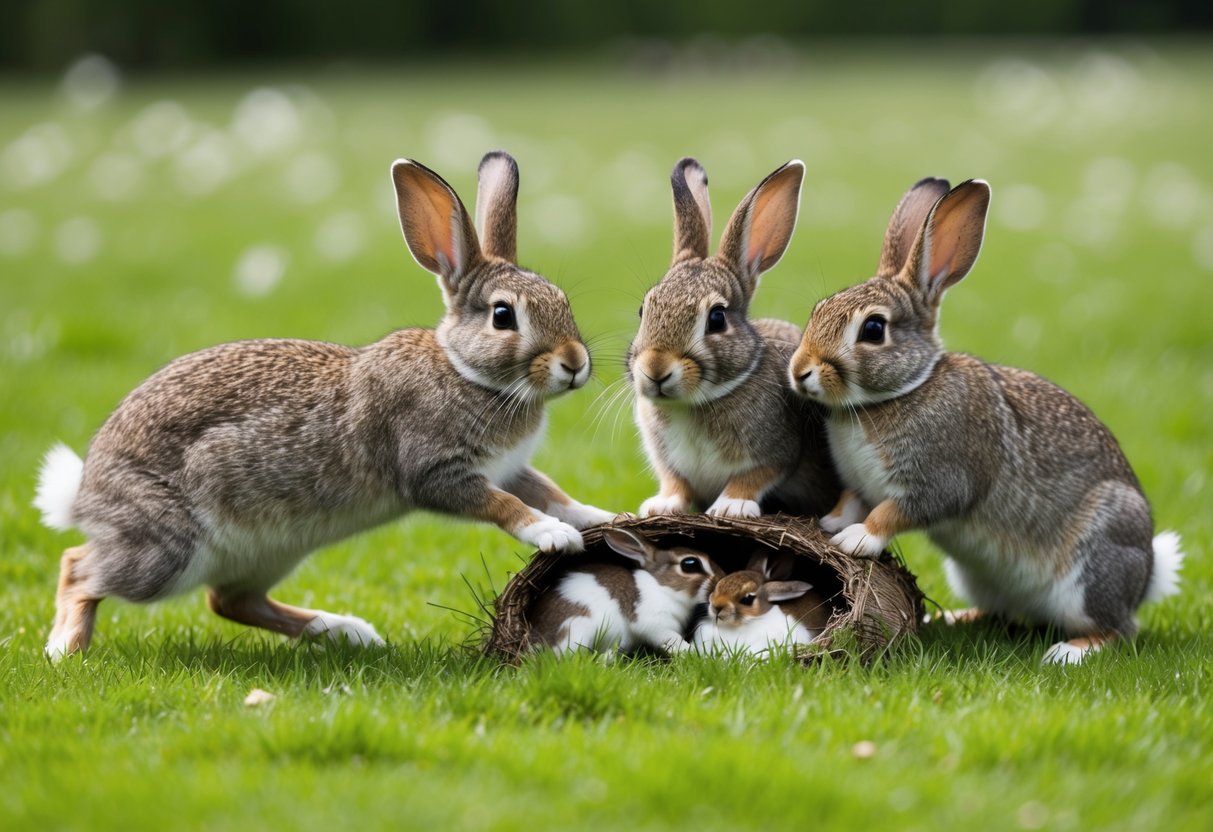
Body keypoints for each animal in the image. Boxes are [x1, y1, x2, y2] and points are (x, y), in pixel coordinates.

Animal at [32, 151, 616, 661]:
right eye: (502, 316)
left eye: (562, 300)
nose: (575, 363)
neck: (463, 370)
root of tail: (84, 494)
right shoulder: (437, 470)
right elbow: (504, 505)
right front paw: (554, 535)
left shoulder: (511, 467)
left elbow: (553, 493)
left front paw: (607, 516)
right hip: (164, 551)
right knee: (79, 566)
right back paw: (65, 650)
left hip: (270, 553)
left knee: (229, 600)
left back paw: (347, 632)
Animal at [529, 527, 723, 656]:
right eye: (690, 564)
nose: (721, 578)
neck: (663, 588)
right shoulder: (656, 624)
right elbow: (672, 639)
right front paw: (692, 653)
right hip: (578, 627)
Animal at [627, 158, 839, 520]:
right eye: (644, 310)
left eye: (716, 318)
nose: (655, 370)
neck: (694, 403)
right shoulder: (669, 464)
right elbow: (675, 482)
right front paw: (661, 505)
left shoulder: (777, 451)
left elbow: (753, 476)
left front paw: (732, 507)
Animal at [788, 176, 1184, 665]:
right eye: (817, 310)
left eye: (874, 330)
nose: (800, 371)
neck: (901, 392)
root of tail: (1146, 577)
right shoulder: (859, 484)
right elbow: (852, 501)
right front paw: (831, 524)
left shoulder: (941, 481)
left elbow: (894, 511)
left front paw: (856, 541)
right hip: (974, 576)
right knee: (1000, 612)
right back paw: (952, 619)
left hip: (1094, 562)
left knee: (1117, 629)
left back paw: (1070, 651)